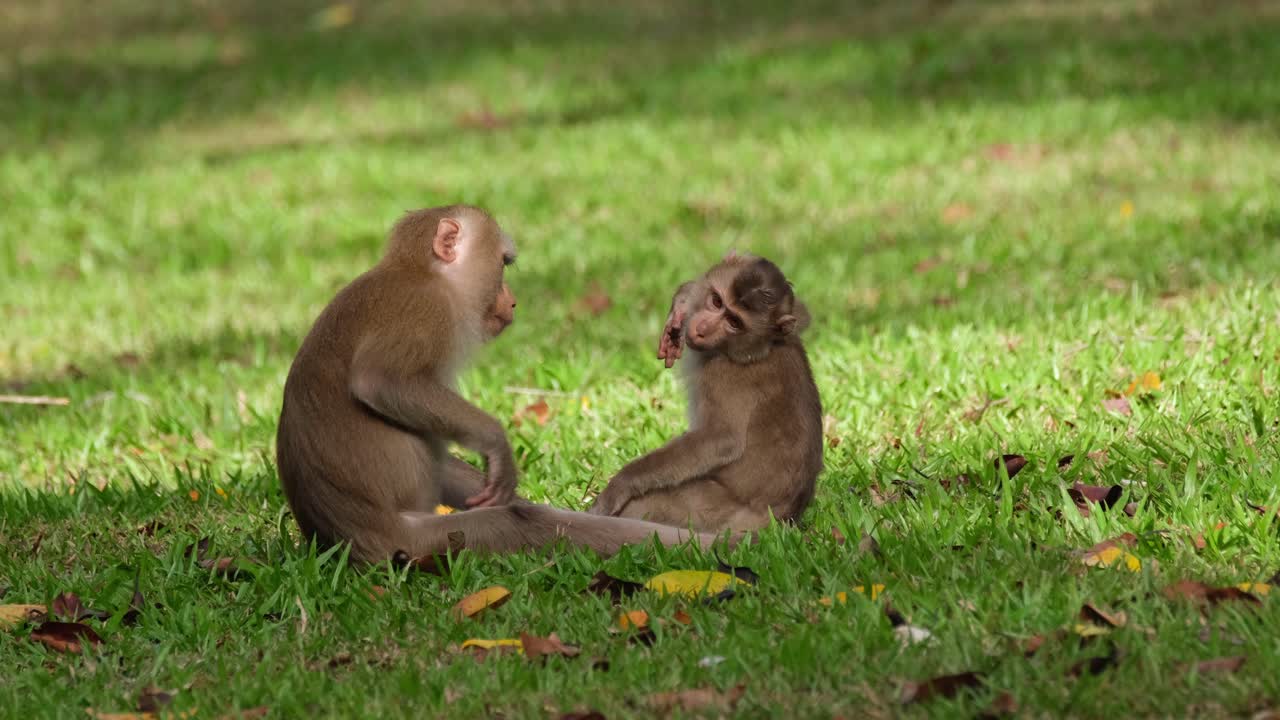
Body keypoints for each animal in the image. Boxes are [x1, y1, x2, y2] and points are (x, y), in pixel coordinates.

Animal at [276, 205, 725, 563]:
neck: (420, 272)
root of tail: (348, 541)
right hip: (423, 541)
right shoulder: (429, 309)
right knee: (517, 525)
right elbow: (379, 381)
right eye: (504, 265)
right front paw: (496, 443)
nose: (511, 301)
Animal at [589, 254, 823, 533]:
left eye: (734, 323)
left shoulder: (722, 376)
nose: (701, 328)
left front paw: (621, 484)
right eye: (716, 301)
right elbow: (802, 313)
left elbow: (720, 439)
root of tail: (783, 518)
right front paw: (685, 300)